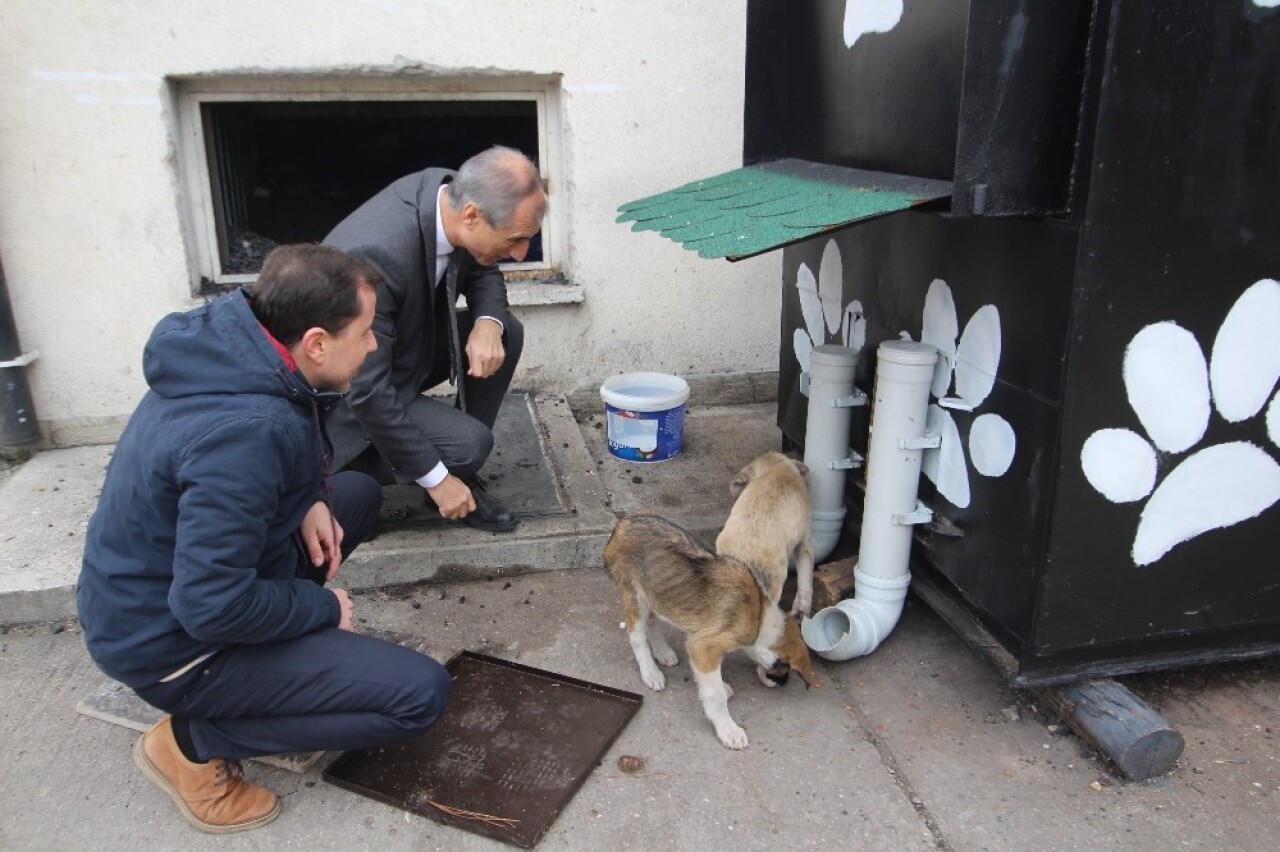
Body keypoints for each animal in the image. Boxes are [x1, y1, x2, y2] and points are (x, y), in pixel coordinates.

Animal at [601, 506, 819, 747]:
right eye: (784, 667)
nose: (782, 683)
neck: (759, 618)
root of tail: (623, 523)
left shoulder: (700, 638)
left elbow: (711, 679)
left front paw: (721, 685)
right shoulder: (703, 647)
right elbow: (715, 695)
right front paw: (728, 729)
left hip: (657, 593)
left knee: (653, 622)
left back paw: (663, 653)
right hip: (635, 595)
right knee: (637, 636)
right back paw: (651, 673)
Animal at [716, 447, 814, 614]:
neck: (777, 468)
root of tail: (741, 558)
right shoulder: (804, 537)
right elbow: (805, 573)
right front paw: (801, 610)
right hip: (773, 586)